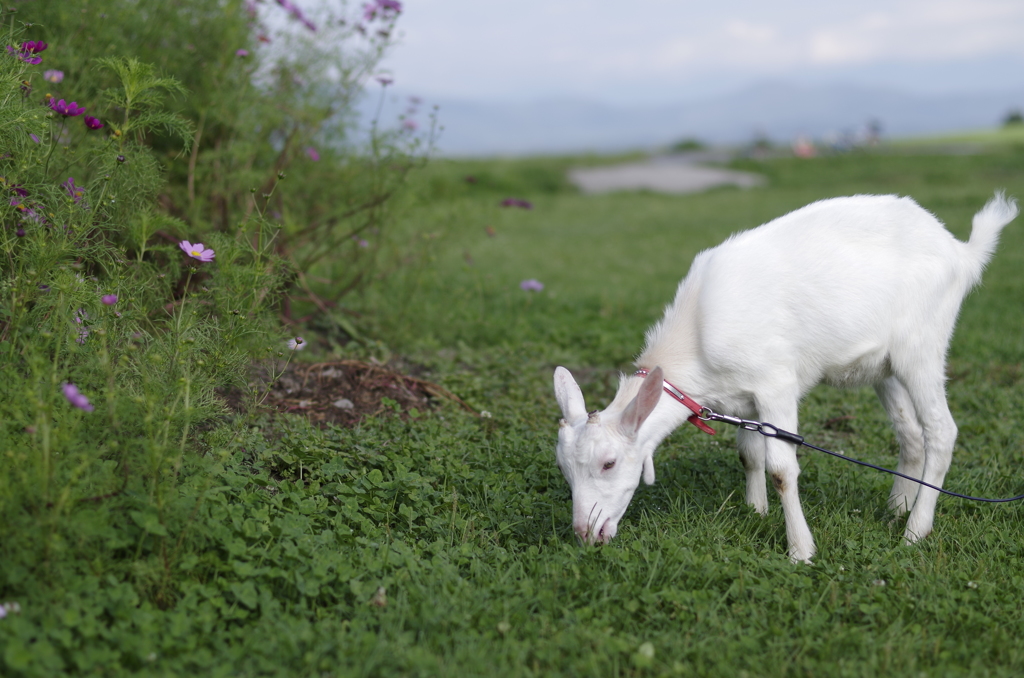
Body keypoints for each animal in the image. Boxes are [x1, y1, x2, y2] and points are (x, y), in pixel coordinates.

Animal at [557, 193, 1019, 565]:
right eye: (564, 467)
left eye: (608, 463)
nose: (585, 534)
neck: (696, 335)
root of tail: (960, 251)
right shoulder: (741, 398)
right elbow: (750, 455)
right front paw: (754, 512)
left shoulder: (775, 383)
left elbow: (781, 468)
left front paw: (801, 550)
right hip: (885, 367)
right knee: (911, 434)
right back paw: (897, 509)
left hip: (922, 344)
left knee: (941, 430)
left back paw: (915, 532)